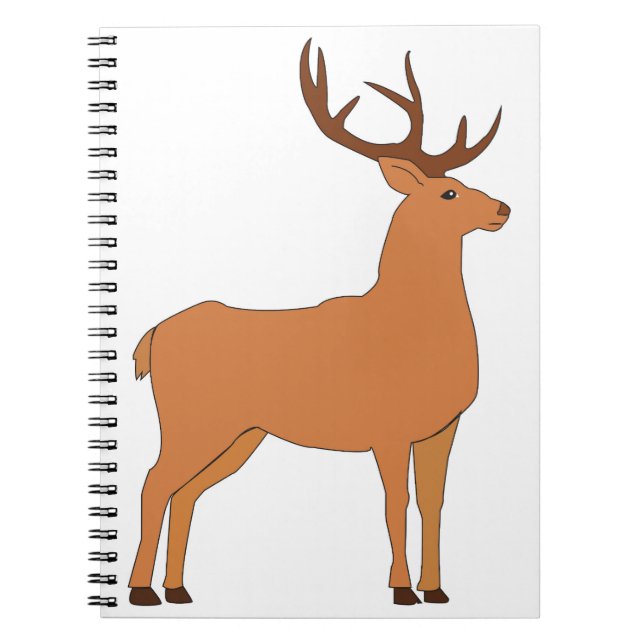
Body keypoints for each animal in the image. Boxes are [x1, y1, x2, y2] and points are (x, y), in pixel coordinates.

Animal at [128, 39, 510, 608]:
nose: (503, 209)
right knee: (155, 481)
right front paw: (401, 589)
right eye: (448, 193)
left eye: (465, 183)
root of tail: (152, 337)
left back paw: (177, 589)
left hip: (241, 434)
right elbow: (395, 503)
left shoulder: (443, 426)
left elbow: (433, 503)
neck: (411, 327)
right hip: (189, 419)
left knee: (187, 490)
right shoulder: (387, 427)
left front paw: (437, 590)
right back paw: (141, 591)